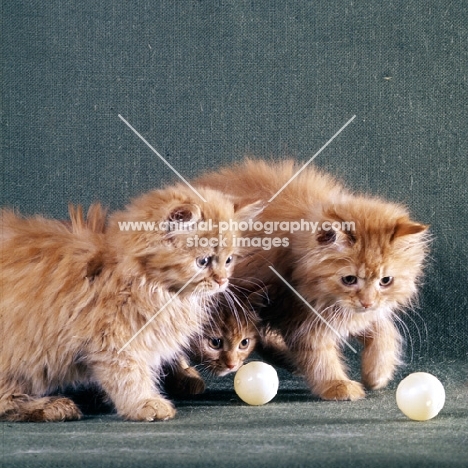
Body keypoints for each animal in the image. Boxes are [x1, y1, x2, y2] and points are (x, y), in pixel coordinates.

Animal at [0, 183, 260, 420]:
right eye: (203, 261)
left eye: (228, 260)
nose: (222, 281)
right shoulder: (112, 339)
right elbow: (128, 375)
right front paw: (146, 403)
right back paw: (51, 406)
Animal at [196, 161, 430, 402]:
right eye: (349, 279)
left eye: (385, 280)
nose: (367, 303)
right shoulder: (303, 319)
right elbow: (320, 357)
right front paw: (337, 385)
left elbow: (384, 331)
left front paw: (377, 373)